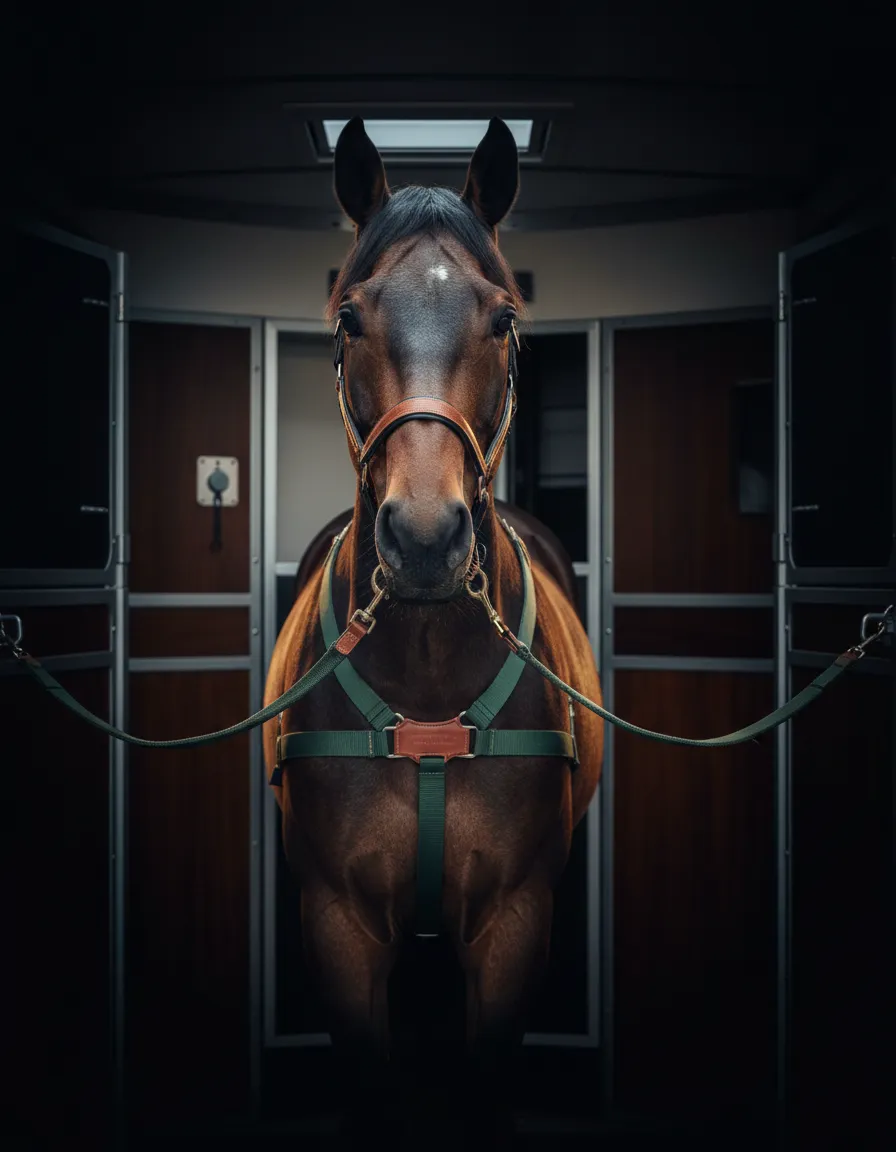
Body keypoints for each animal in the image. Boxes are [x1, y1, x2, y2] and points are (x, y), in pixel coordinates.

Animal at [263, 116, 604, 1147]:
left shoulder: (514, 924)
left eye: (503, 320)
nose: (422, 538)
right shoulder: (336, 925)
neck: (424, 698)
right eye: (348, 319)